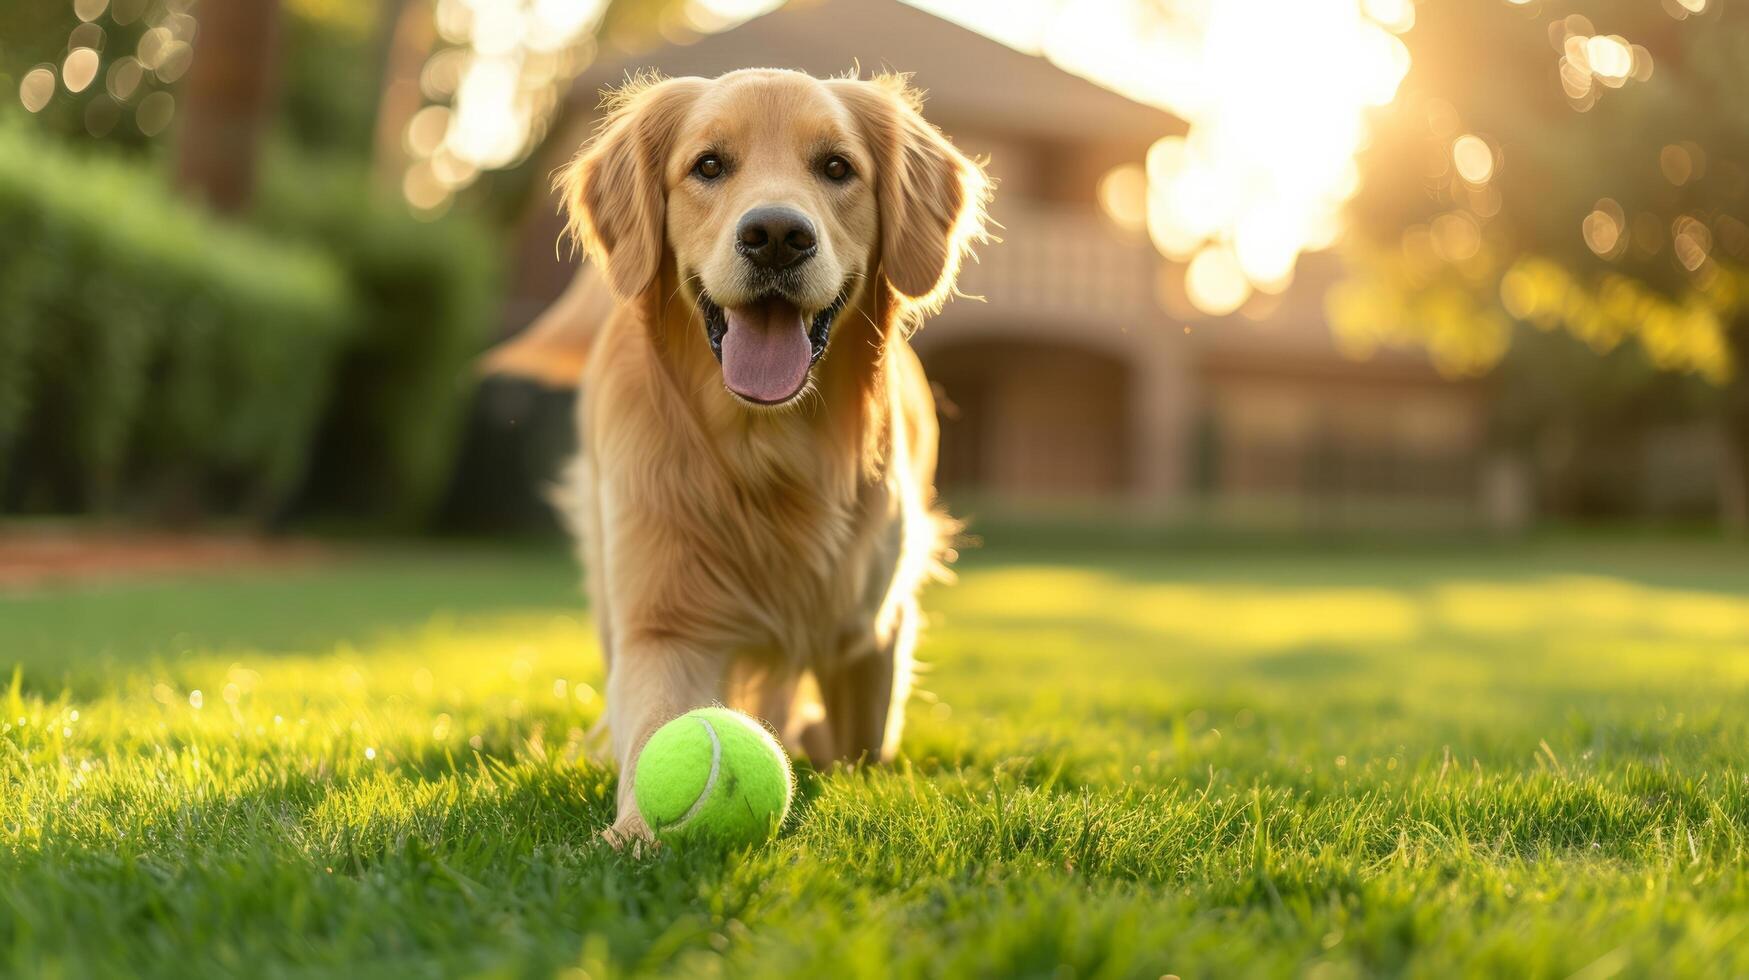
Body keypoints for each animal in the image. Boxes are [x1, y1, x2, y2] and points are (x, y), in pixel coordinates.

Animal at [493, 69, 993, 843]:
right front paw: (637, 833)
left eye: (837, 167)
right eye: (707, 165)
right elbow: (655, 723)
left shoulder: (869, 627)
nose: (777, 237)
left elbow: (865, 746)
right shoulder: (665, 620)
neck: (768, 450)